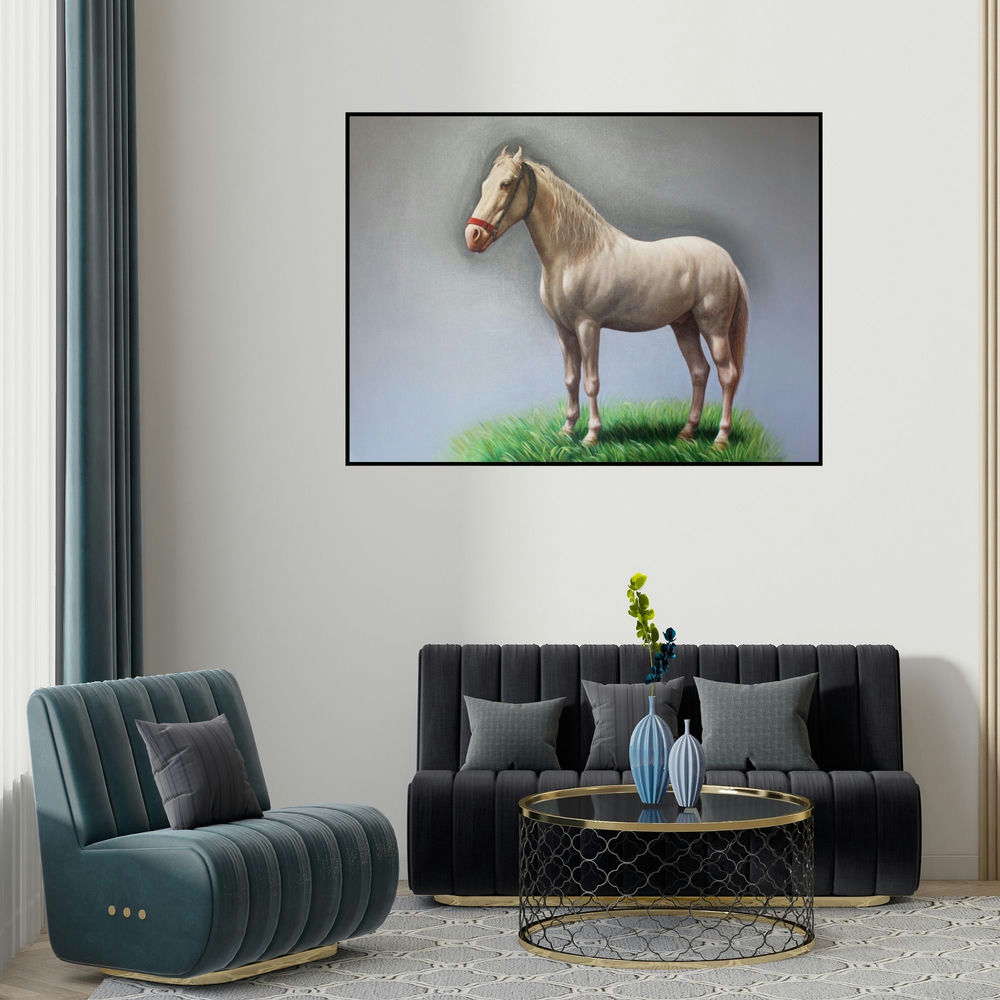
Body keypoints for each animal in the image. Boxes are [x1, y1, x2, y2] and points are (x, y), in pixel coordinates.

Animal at [464, 146, 749, 448]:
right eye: (484, 185)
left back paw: (721, 438)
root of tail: (728, 262)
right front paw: (567, 429)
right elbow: (571, 378)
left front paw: (591, 435)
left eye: (506, 184)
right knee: (699, 371)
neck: (575, 254)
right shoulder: (563, 330)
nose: (473, 235)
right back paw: (686, 431)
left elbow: (591, 381)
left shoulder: (588, 326)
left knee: (727, 374)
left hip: (713, 328)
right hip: (685, 326)